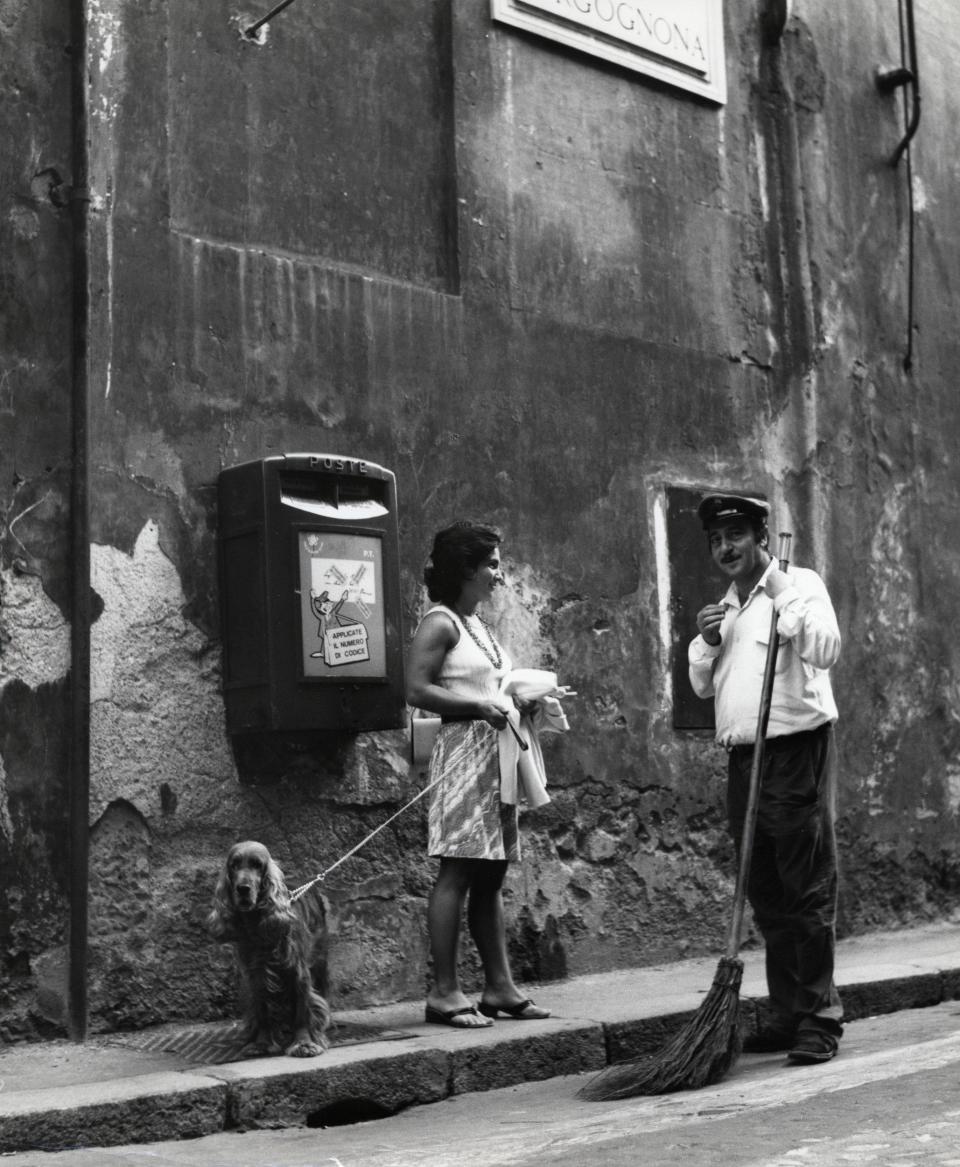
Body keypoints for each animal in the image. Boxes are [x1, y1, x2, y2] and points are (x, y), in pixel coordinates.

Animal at [208, 840, 331, 1059]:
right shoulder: (255, 972)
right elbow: (262, 1009)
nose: (243, 888)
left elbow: (302, 1010)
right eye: (234, 864)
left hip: (320, 960)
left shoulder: (298, 970)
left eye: (257, 864)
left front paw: (304, 1043)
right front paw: (262, 1043)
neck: (257, 923)